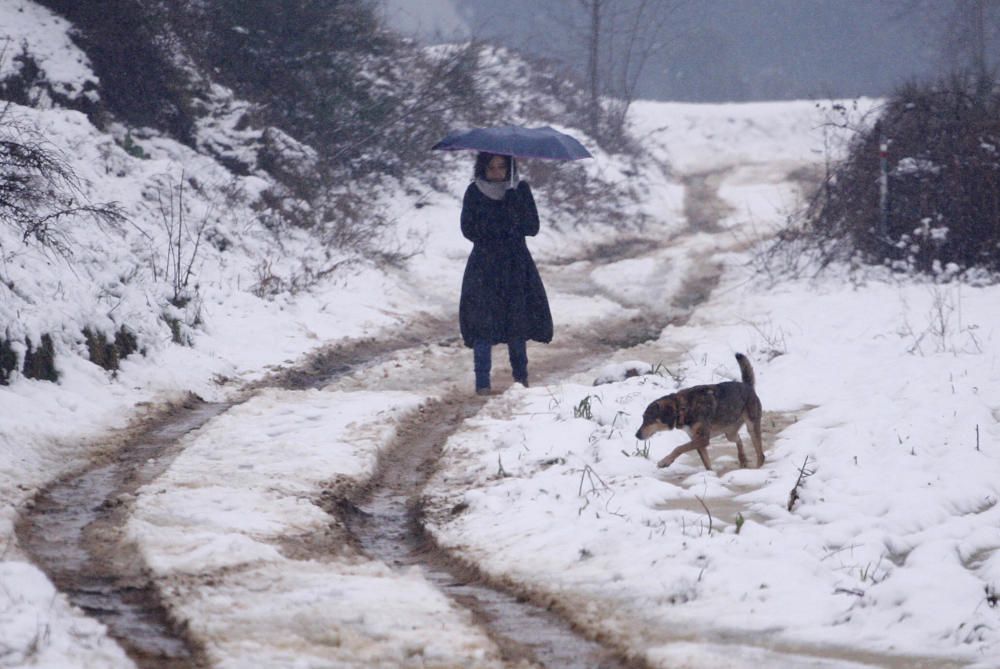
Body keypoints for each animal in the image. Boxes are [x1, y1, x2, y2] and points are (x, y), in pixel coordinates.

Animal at [632, 352, 764, 472]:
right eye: (643, 418)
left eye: (649, 420)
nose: (636, 435)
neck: (683, 408)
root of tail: (748, 386)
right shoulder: (696, 440)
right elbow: (706, 463)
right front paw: (710, 474)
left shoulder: (703, 439)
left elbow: (679, 448)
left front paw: (665, 462)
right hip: (729, 434)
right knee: (739, 440)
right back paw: (743, 460)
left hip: (751, 428)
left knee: (761, 455)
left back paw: (758, 469)